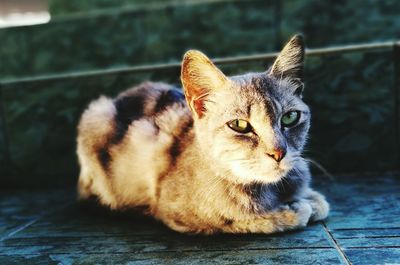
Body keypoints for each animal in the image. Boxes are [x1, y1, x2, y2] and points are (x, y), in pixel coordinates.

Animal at [76, 34, 330, 233]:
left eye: (290, 117)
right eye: (239, 125)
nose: (278, 152)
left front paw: (309, 199)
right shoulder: (175, 212)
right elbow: (245, 219)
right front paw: (295, 210)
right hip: (97, 117)